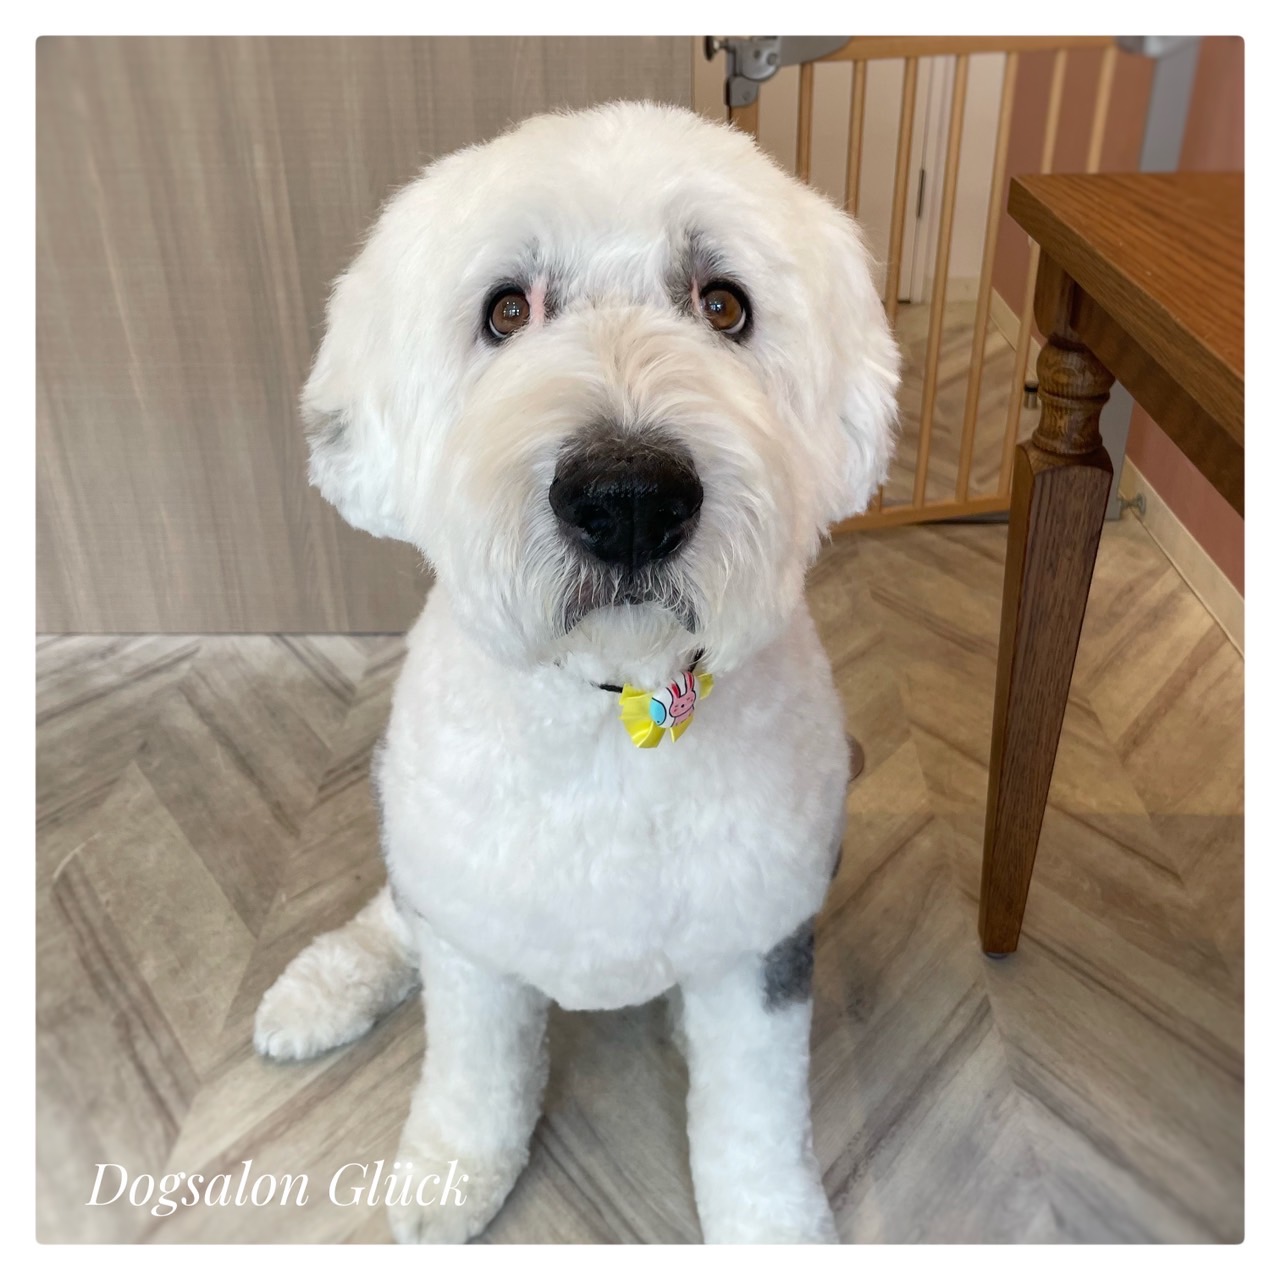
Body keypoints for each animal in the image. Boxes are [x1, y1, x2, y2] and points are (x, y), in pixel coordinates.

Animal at [253, 100, 899, 1244]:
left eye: (724, 305)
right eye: (506, 312)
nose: (629, 496)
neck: (616, 710)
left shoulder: (761, 945)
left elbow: (754, 1120)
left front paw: (772, 1229)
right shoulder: (471, 936)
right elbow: (473, 1067)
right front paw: (452, 1171)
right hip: (416, 845)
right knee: (395, 910)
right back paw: (325, 986)